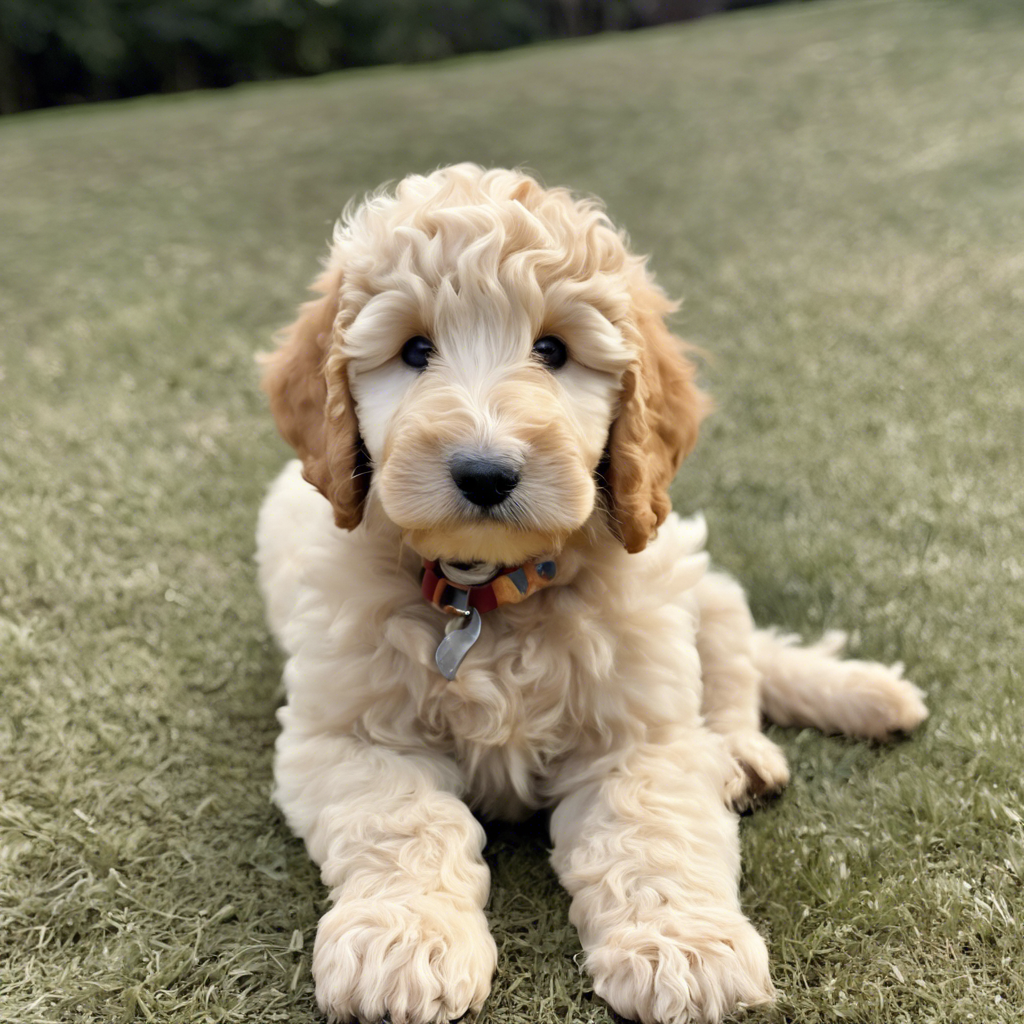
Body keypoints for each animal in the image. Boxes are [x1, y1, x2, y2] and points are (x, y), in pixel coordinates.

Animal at [256, 163, 929, 1019]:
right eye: (413, 350)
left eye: (553, 349)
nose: (485, 473)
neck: (488, 598)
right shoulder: (350, 737)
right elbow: (402, 824)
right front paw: (403, 943)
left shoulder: (638, 729)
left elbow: (651, 831)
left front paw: (682, 948)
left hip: (685, 567)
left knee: (733, 650)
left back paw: (738, 755)